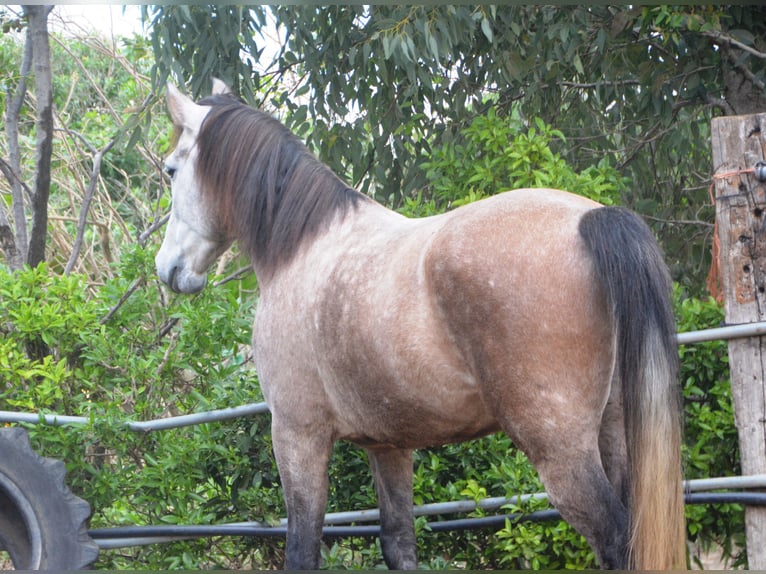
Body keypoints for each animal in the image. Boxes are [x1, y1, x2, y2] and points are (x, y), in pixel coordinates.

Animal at [156, 81, 688, 572]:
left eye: (170, 170)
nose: (167, 269)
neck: (301, 250)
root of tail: (591, 219)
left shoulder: (296, 434)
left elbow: (302, 550)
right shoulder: (389, 447)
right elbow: (399, 545)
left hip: (560, 450)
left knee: (616, 540)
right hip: (614, 434)